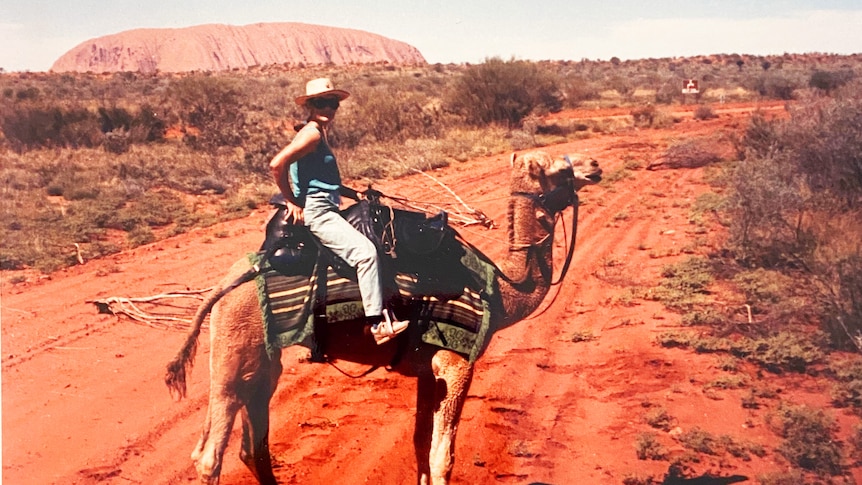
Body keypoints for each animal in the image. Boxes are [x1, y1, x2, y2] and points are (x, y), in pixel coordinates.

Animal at [167, 149, 600, 482]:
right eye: (558, 169)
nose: (594, 165)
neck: (501, 291)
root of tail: (227, 282)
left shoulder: (428, 368)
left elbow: (420, 448)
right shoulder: (456, 363)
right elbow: (442, 458)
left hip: (259, 359)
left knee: (249, 444)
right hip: (235, 345)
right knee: (209, 454)